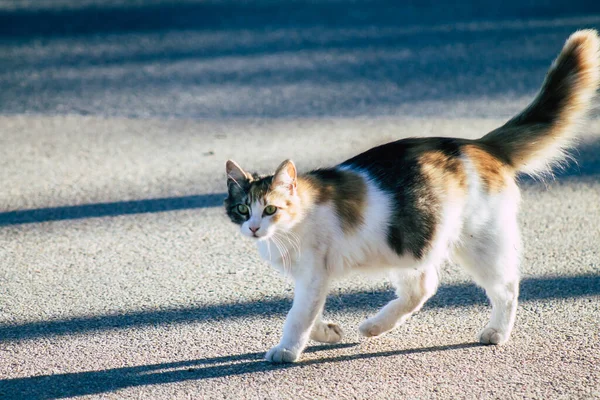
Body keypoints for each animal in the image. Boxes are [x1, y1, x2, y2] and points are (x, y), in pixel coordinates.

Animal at [224, 31, 600, 362]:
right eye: (243, 209)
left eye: (270, 209)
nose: (254, 228)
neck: (291, 226)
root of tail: (477, 145)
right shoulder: (310, 279)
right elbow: (308, 313)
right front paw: (328, 331)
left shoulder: (314, 273)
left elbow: (297, 317)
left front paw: (286, 350)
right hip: (410, 242)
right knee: (422, 287)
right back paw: (376, 326)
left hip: (479, 244)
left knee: (506, 287)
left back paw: (497, 332)